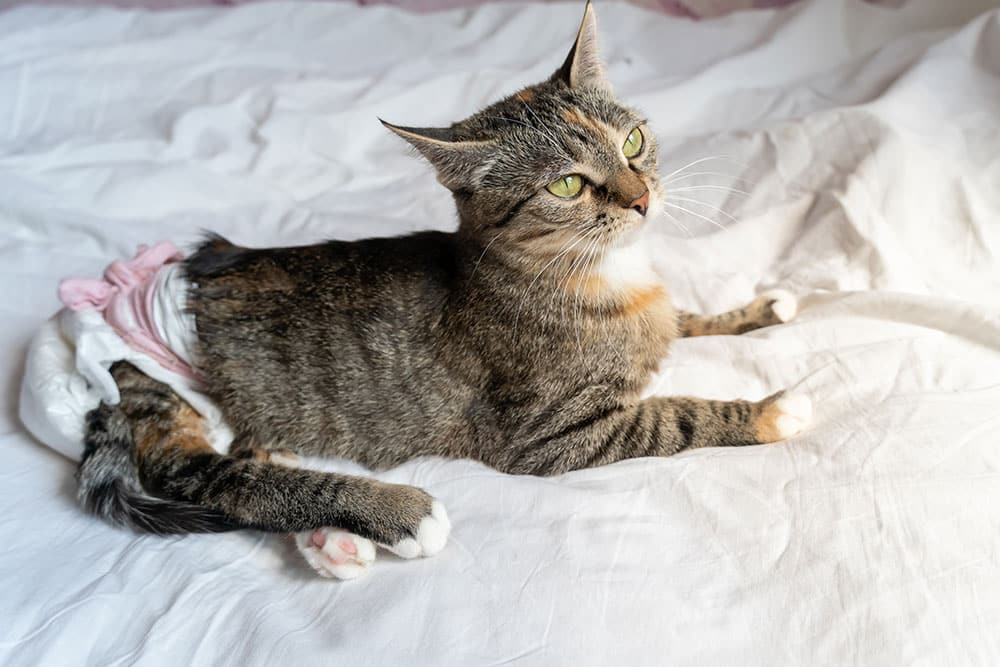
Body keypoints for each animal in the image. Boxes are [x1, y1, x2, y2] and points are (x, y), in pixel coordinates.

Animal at [78, 1, 812, 580]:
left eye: (632, 141)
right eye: (568, 183)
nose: (641, 199)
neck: (597, 271)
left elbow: (684, 319)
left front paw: (756, 310)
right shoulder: (548, 438)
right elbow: (671, 415)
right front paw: (769, 410)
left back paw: (331, 540)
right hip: (172, 401)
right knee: (218, 481)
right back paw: (394, 513)